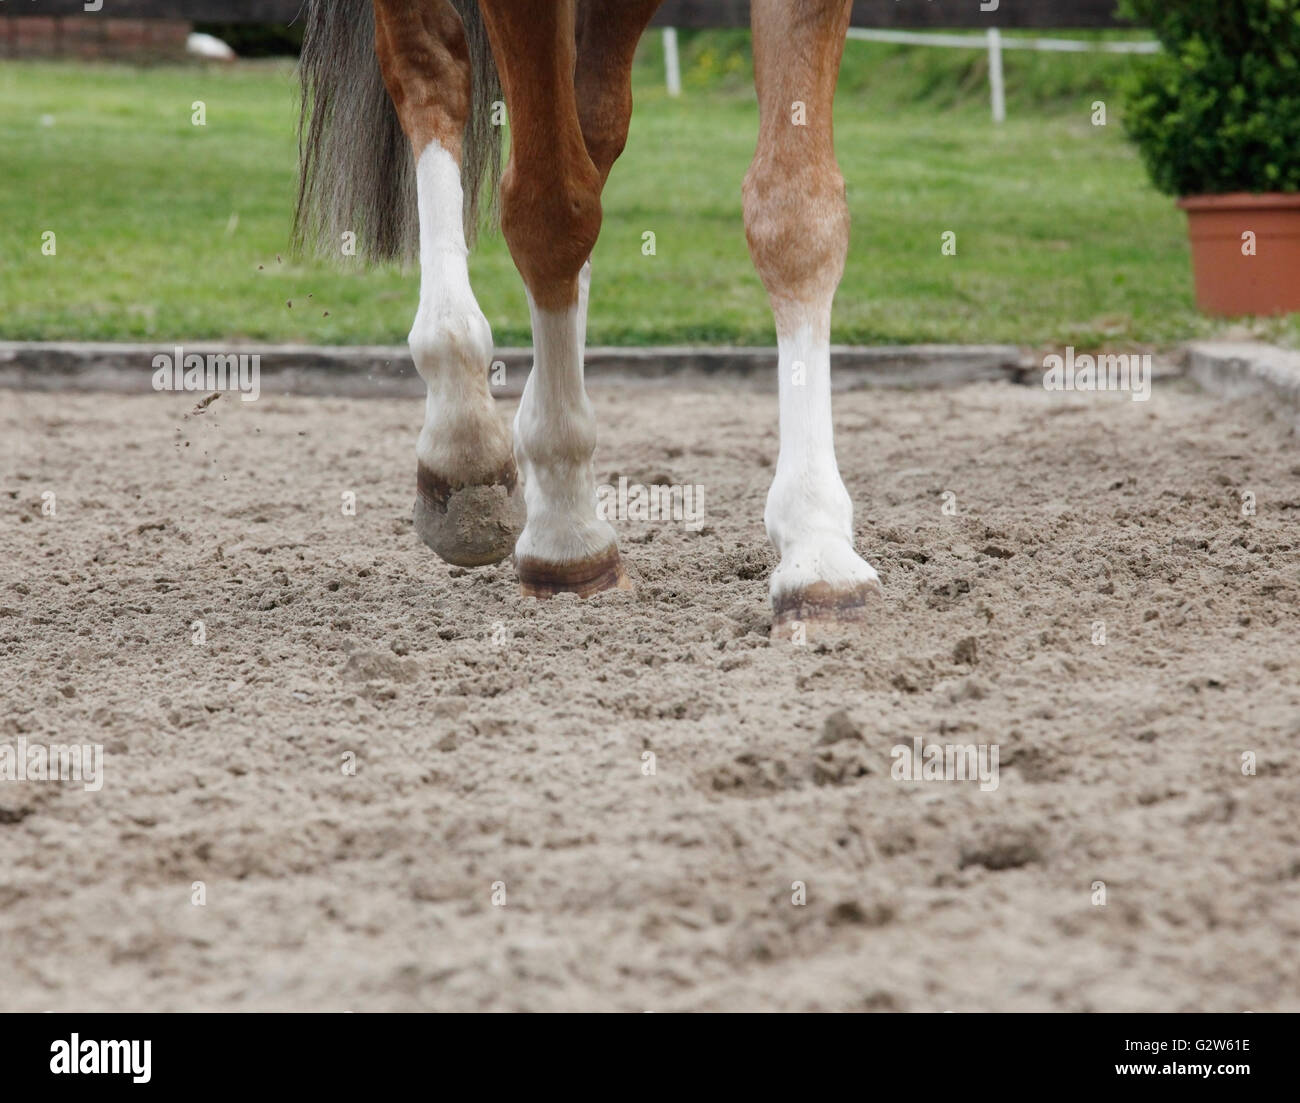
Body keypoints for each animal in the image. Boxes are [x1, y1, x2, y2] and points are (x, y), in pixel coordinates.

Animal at [297, 0, 883, 637]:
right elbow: (552, 212)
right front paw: (561, 525)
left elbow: (796, 216)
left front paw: (818, 550)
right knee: (431, 69)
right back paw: (465, 445)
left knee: (592, 123)